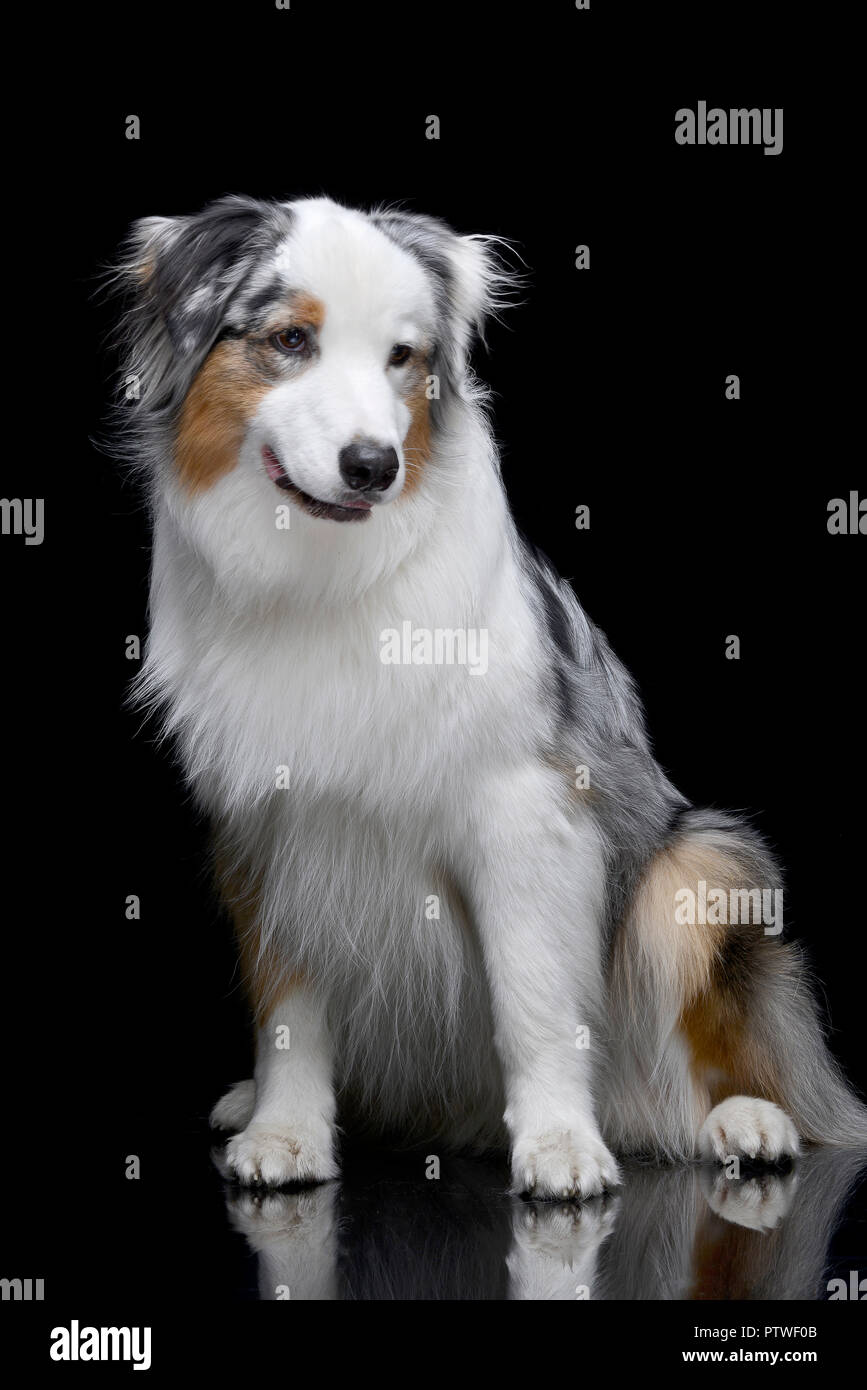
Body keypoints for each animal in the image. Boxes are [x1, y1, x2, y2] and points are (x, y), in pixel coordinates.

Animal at [109, 193, 867, 1195]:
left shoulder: (523, 810)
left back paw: (743, 1121)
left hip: (700, 862)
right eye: (290, 340)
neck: (325, 578)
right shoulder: (267, 827)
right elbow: (287, 1004)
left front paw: (559, 1147)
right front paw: (284, 1132)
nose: (372, 465)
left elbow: (533, 998)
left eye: (402, 356)